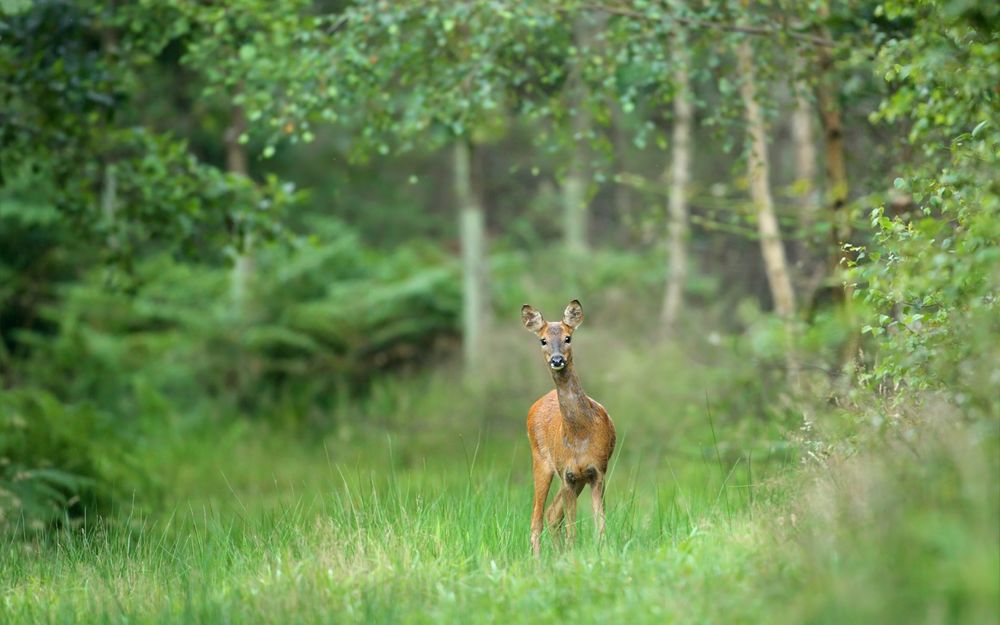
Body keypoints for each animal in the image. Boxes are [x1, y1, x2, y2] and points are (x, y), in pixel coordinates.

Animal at [521, 299, 616, 556]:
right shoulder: (568, 475)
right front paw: (573, 555)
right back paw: (539, 561)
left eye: (568, 337)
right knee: (537, 519)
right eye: (543, 340)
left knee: (552, 514)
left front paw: (601, 552)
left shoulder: (597, 471)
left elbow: (600, 524)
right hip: (541, 461)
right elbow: (572, 529)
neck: (580, 435)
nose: (557, 360)